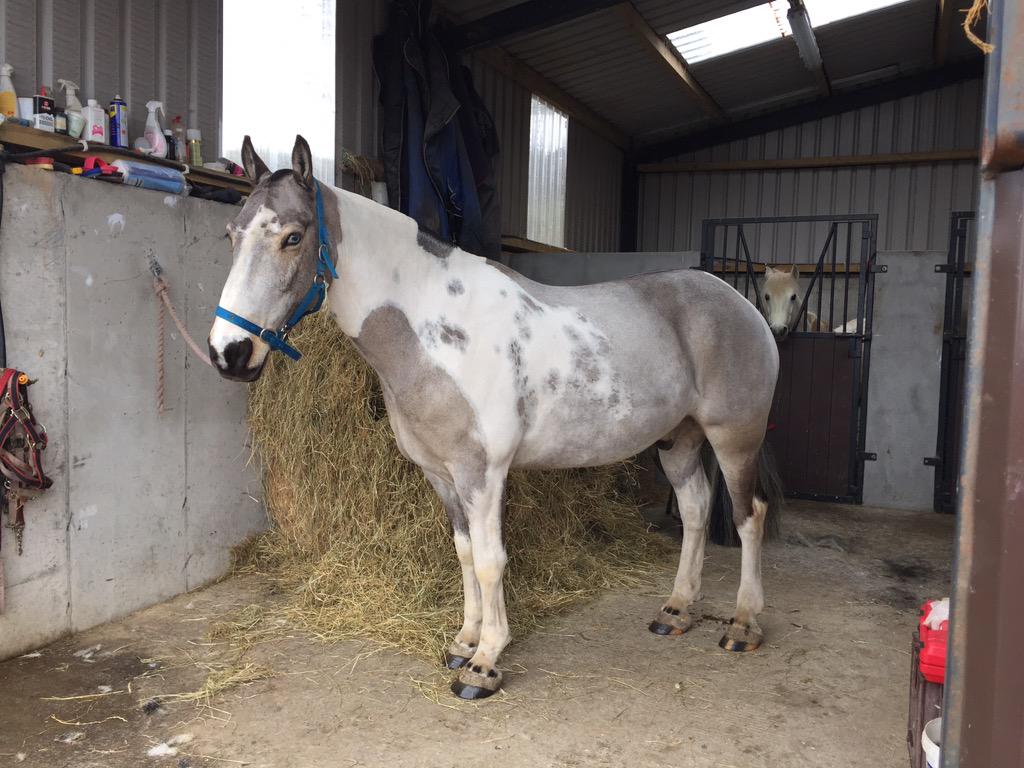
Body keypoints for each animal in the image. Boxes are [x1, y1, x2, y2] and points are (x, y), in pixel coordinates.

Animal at [208, 135, 782, 700]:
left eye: (293, 237)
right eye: (231, 234)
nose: (229, 353)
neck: (437, 327)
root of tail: (740, 303)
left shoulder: (481, 473)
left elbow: (490, 561)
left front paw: (484, 664)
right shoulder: (441, 475)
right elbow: (464, 554)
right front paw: (464, 641)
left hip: (735, 438)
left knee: (749, 515)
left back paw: (743, 624)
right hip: (679, 440)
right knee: (696, 511)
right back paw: (677, 610)